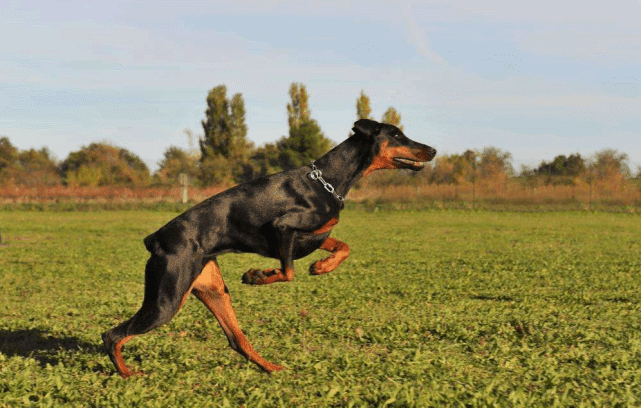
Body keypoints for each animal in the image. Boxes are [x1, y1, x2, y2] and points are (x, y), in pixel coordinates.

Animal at [102, 117, 438, 376]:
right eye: (396, 134)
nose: (433, 149)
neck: (328, 180)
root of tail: (155, 240)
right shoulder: (282, 228)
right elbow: (288, 272)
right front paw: (257, 275)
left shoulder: (315, 234)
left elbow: (342, 247)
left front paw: (322, 266)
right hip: (166, 301)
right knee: (112, 335)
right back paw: (128, 374)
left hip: (212, 289)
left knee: (236, 340)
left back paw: (271, 368)